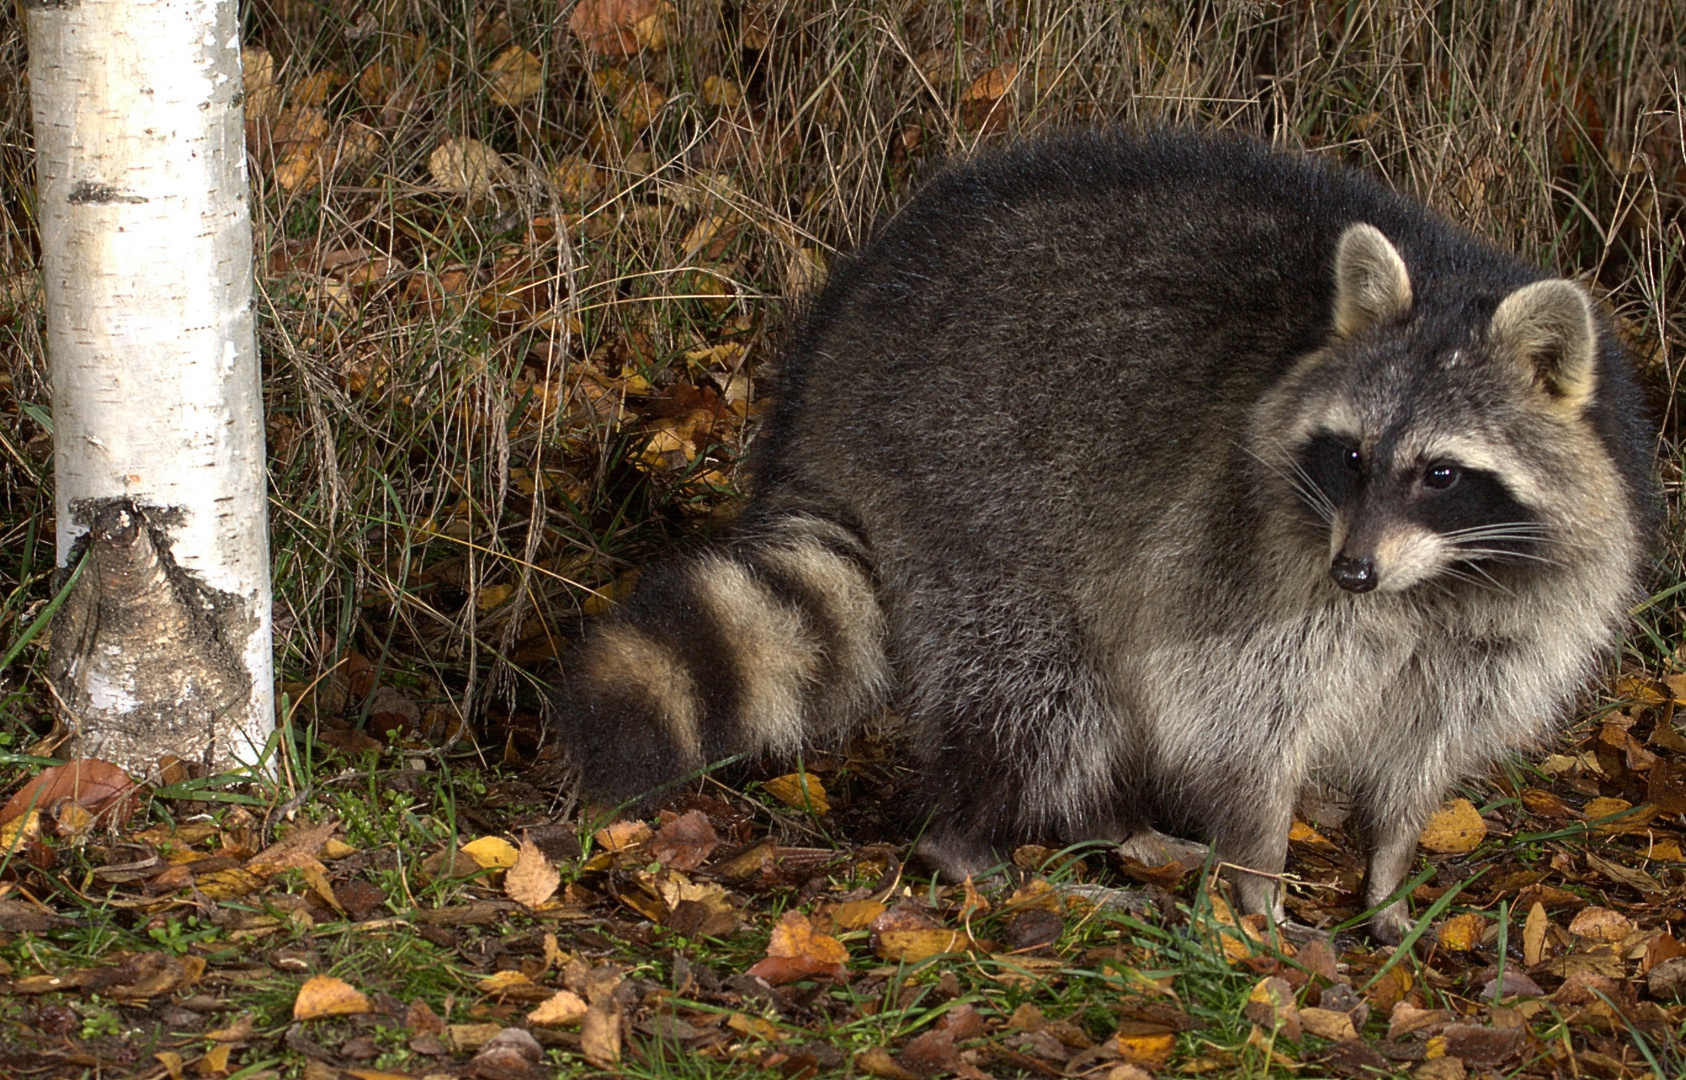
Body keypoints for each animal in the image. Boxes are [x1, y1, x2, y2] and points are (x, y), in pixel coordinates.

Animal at [549, 133, 1645, 943]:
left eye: (1442, 473)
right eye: (1349, 456)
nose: (1354, 572)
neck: (1433, 584)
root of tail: (830, 373)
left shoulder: (1503, 619)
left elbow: (1429, 745)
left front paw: (1388, 870)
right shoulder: (1252, 558)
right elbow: (1245, 720)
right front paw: (1259, 873)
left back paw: (1108, 828)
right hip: (974, 485)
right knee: (1038, 689)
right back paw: (975, 844)